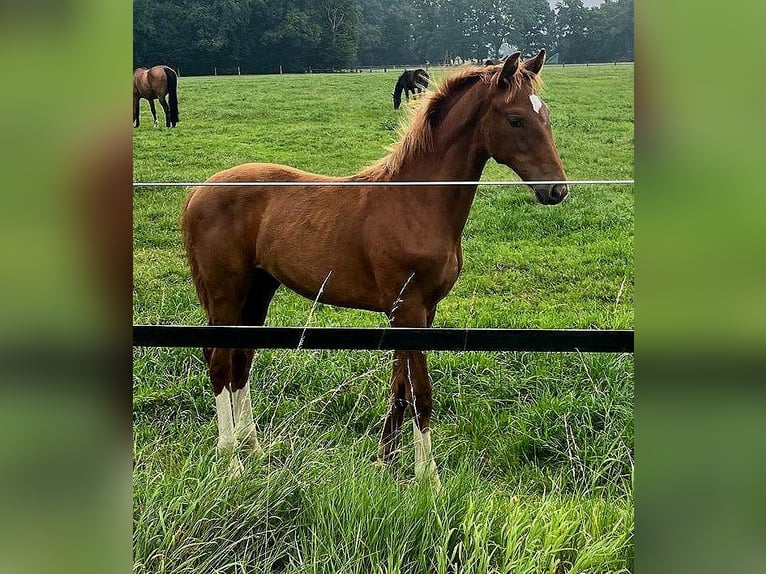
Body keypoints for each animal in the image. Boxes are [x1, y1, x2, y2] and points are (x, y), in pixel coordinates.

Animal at [183, 50, 568, 486]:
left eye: (545, 114)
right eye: (516, 119)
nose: (557, 190)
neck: (415, 203)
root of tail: (198, 191)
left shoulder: (420, 312)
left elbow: (400, 387)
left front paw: (386, 462)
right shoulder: (409, 311)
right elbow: (420, 392)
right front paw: (428, 479)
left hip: (259, 290)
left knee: (241, 360)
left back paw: (255, 448)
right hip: (226, 292)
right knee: (219, 359)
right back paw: (232, 462)